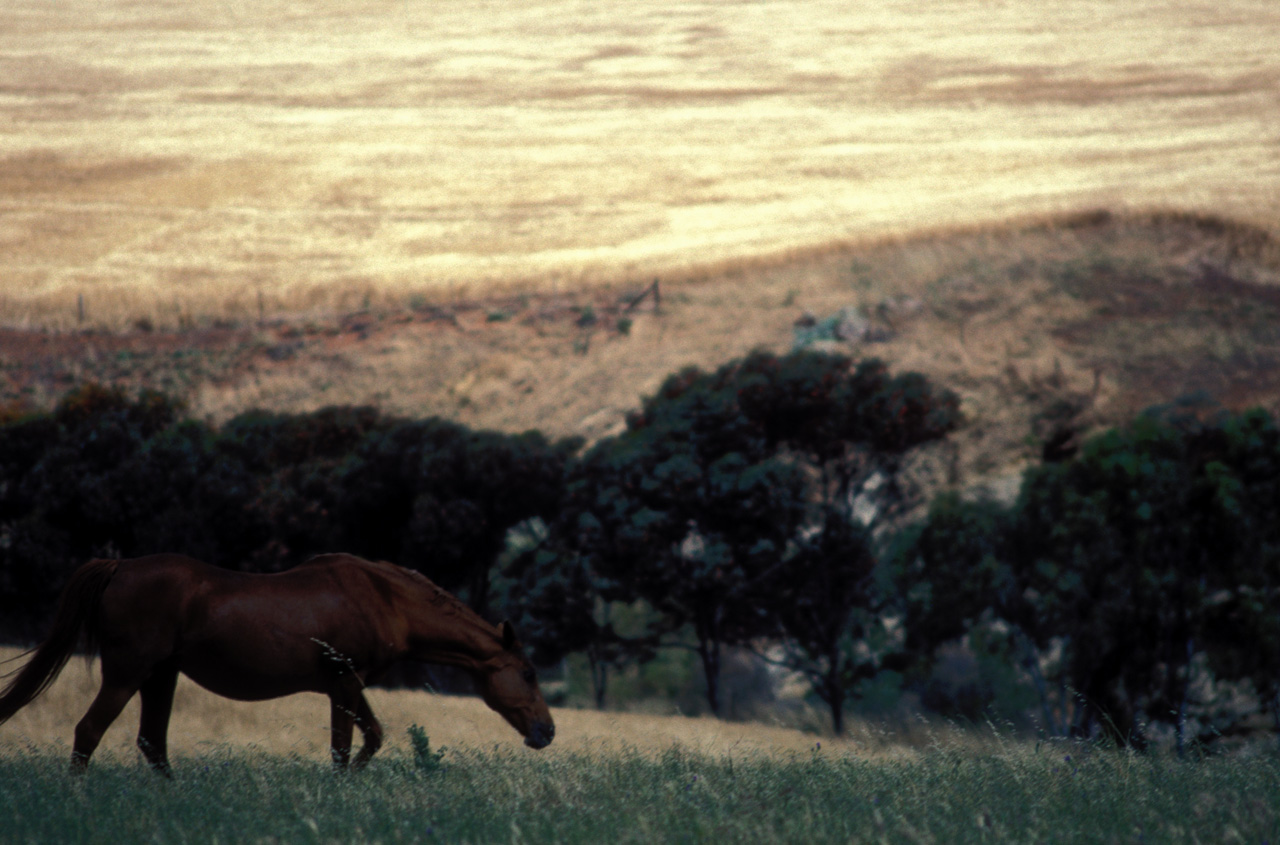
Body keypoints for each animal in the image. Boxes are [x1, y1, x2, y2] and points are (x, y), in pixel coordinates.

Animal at [0, 550, 555, 773]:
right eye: (528, 673)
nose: (546, 731)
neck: (384, 599)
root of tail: (118, 566)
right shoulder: (345, 683)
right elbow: (349, 747)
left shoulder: (346, 686)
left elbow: (366, 740)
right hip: (127, 673)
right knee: (89, 732)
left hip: (161, 676)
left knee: (152, 744)